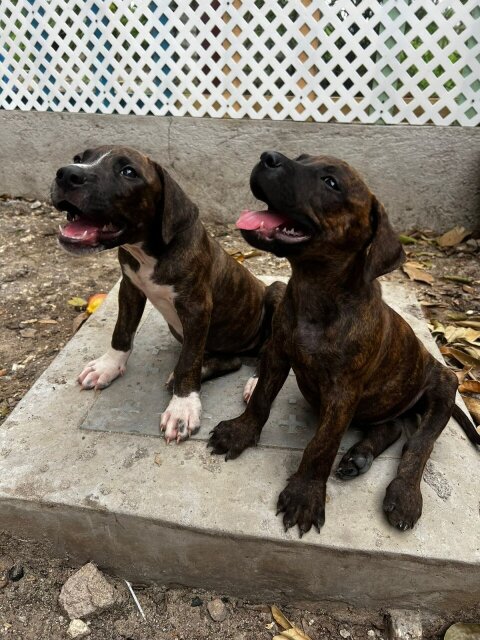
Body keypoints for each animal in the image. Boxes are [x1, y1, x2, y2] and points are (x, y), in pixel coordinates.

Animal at [51, 146, 284, 444]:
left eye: (128, 171)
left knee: (267, 350)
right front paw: (107, 366)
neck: (150, 253)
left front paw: (182, 407)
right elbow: (121, 332)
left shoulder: (196, 308)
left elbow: (188, 361)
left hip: (277, 292)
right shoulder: (130, 288)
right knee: (230, 361)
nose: (67, 174)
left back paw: (254, 383)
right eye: (79, 158)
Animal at [208, 150, 478, 536]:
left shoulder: (342, 393)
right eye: (301, 158)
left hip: (445, 383)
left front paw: (305, 495)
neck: (317, 292)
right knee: (392, 427)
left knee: (418, 446)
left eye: (331, 182)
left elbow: (322, 445)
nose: (268, 156)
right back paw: (359, 455)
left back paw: (404, 495)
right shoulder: (277, 353)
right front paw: (240, 432)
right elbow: (261, 397)